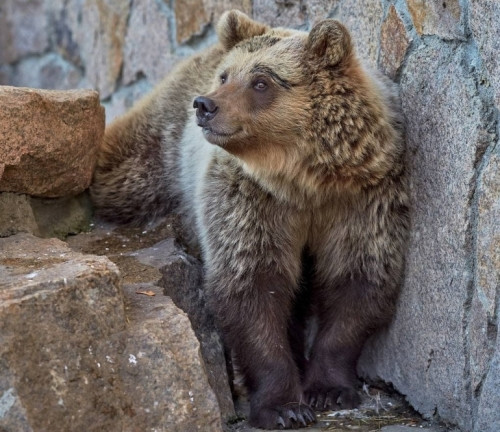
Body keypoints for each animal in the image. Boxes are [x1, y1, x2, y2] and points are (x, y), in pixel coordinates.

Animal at [91, 9, 410, 428]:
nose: (204, 105)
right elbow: (252, 285)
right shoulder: (250, 200)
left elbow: (357, 279)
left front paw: (328, 388)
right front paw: (284, 406)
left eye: (261, 81)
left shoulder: (362, 198)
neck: (305, 182)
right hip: (156, 153)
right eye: (227, 76)